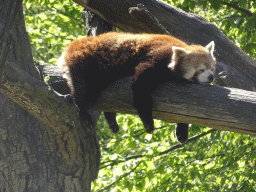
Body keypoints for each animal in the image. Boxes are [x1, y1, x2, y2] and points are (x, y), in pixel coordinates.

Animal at [57, 31, 215, 142]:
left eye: (212, 68)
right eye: (200, 69)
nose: (211, 77)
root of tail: (72, 46)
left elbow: (184, 110)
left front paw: (182, 130)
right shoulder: (155, 58)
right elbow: (140, 88)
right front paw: (148, 122)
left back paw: (111, 120)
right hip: (85, 65)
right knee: (81, 91)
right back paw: (83, 114)